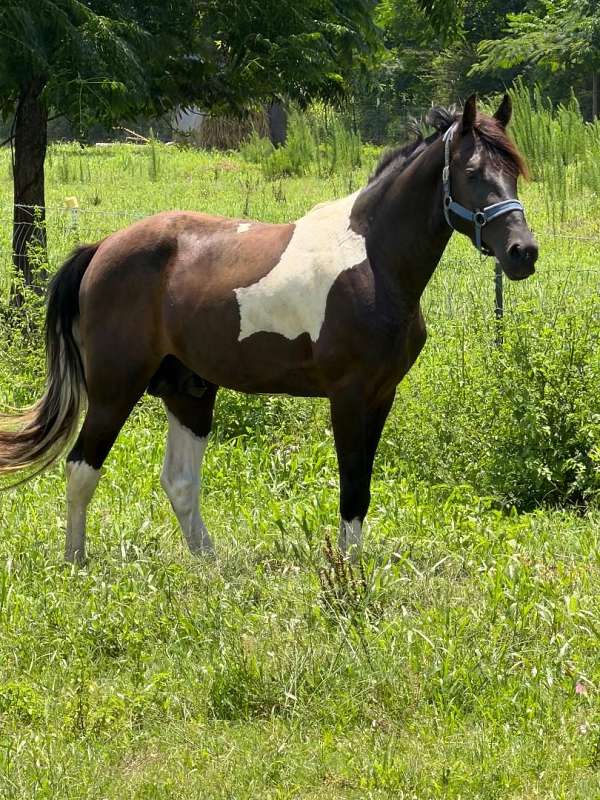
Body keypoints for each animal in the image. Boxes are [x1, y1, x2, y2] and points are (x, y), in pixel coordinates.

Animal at [0, 94, 538, 564]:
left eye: (514, 172)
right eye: (472, 173)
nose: (523, 252)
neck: (372, 261)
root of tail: (102, 248)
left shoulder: (381, 395)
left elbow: (362, 489)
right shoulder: (349, 397)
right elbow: (351, 487)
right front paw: (348, 577)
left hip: (188, 390)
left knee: (179, 481)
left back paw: (210, 565)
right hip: (116, 389)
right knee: (80, 468)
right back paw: (76, 562)